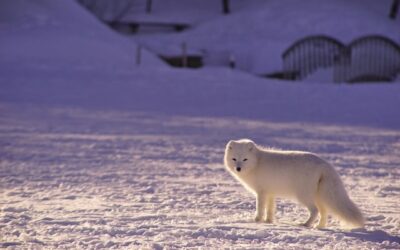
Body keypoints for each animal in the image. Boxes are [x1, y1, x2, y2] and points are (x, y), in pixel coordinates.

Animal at [223, 139, 364, 229]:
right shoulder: (270, 193)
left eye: (245, 159)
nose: (238, 168)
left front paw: (257, 221)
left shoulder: (261, 192)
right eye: (234, 159)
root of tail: (324, 164)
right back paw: (319, 227)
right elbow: (270, 209)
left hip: (303, 195)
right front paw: (269, 221)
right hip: (319, 196)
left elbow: (260, 208)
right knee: (324, 212)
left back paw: (306, 224)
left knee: (315, 211)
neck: (257, 162)